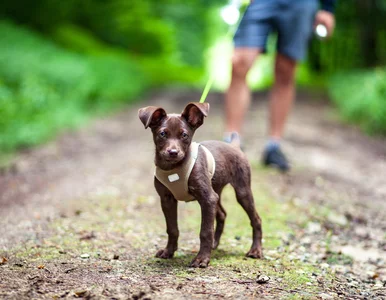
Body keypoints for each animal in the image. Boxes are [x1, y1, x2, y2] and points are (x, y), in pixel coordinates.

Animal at [139, 102, 262, 268]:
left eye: (184, 135)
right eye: (162, 134)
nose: (173, 152)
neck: (173, 168)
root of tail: (234, 146)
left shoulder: (207, 199)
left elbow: (205, 231)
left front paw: (202, 258)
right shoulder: (167, 199)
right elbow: (172, 228)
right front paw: (168, 251)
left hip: (242, 191)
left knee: (256, 219)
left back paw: (255, 250)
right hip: (216, 191)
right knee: (222, 214)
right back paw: (215, 244)